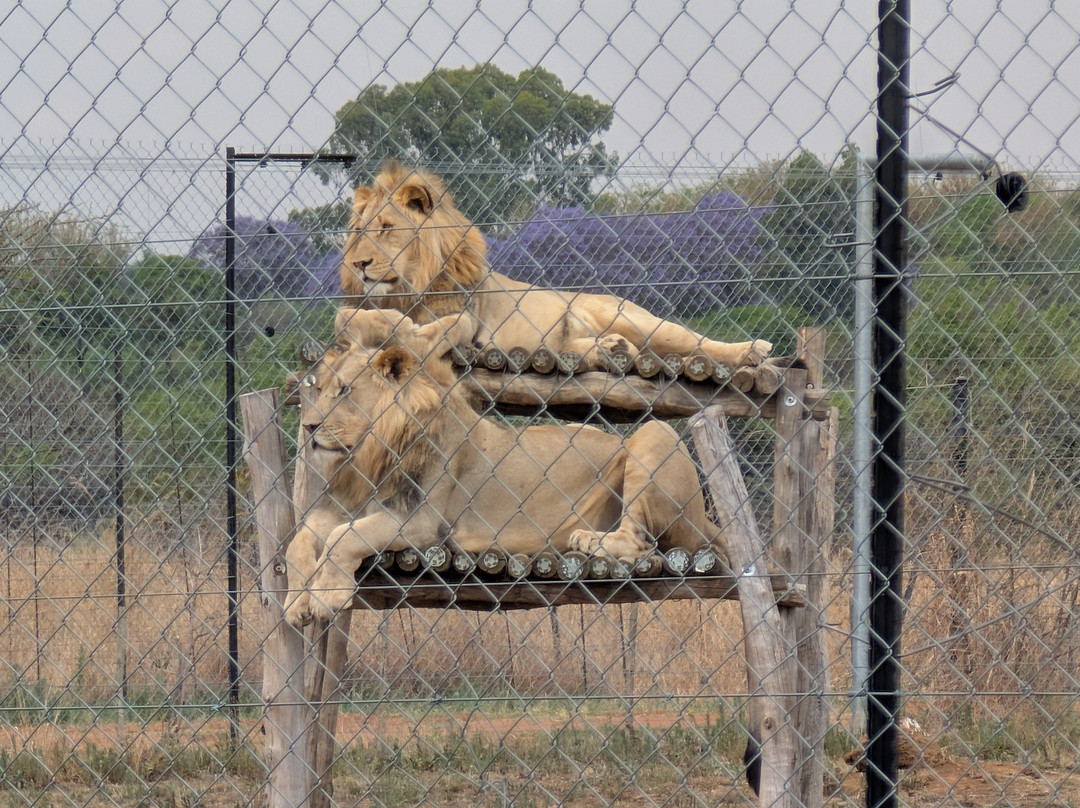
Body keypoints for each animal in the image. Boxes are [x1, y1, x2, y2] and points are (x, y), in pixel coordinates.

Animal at [282, 307, 730, 627]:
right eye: (320, 390)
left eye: (346, 391)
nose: (309, 426)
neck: (368, 459)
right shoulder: (345, 507)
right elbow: (299, 541)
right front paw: (294, 602)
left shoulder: (420, 520)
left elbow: (343, 537)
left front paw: (326, 596)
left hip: (655, 436)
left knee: (641, 542)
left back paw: (590, 540)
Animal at [339, 160, 772, 372]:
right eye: (359, 231)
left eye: (387, 228)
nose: (359, 263)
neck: (406, 288)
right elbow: (345, 319)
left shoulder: (467, 319)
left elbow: (440, 330)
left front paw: (406, 331)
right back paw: (610, 347)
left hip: (637, 319)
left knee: (696, 342)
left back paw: (753, 350)